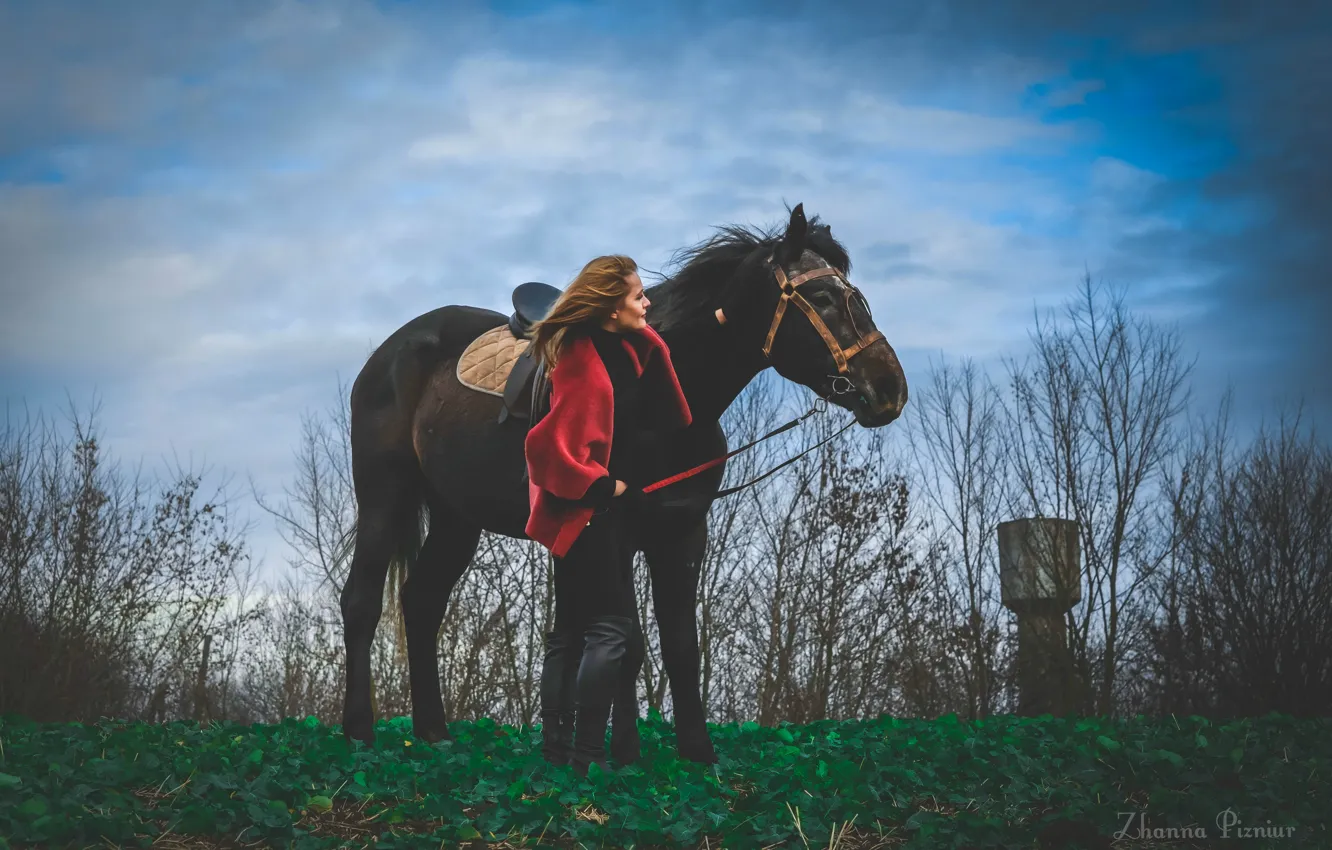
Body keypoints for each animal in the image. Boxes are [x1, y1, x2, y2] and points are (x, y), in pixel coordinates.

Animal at [339, 203, 908, 765]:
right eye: (821, 297)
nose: (890, 388)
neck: (667, 397)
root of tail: (390, 351)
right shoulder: (613, 528)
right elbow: (629, 643)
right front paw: (625, 755)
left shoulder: (681, 532)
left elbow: (680, 645)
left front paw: (697, 754)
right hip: (385, 495)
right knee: (362, 602)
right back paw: (359, 732)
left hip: (457, 517)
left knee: (422, 601)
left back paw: (434, 733)